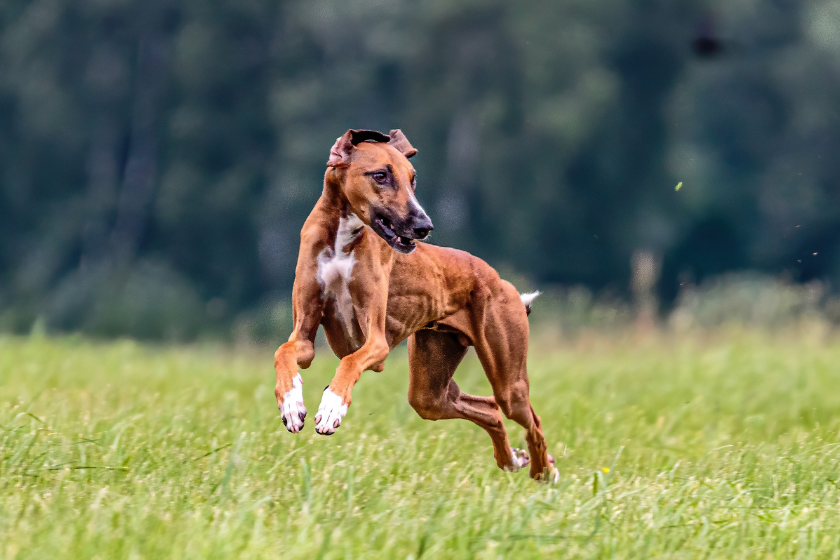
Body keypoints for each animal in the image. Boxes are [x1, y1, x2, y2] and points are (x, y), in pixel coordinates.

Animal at [272, 129, 556, 480]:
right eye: (380, 175)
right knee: (488, 410)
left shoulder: (375, 343)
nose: (425, 226)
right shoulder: (304, 338)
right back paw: (512, 459)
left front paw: (331, 407)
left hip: (509, 381)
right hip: (429, 393)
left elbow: (349, 362)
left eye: (413, 179)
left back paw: (545, 470)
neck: (341, 239)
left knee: (529, 418)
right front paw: (291, 404)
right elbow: (283, 352)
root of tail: (501, 281)